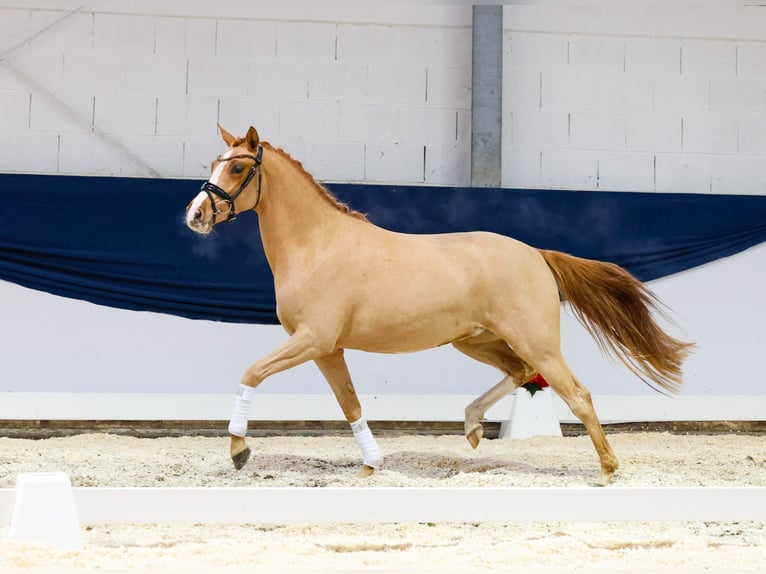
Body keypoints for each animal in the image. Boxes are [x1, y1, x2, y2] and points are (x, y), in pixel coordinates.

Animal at [186, 126, 696, 486]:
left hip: (536, 341)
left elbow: (252, 373)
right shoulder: (329, 349)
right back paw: (471, 427)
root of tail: (536, 254)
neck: (319, 246)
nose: (195, 215)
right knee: (520, 372)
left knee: (577, 394)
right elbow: (350, 404)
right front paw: (371, 465)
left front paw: (239, 451)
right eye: (214, 162)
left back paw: (608, 471)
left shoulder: (312, 340)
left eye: (237, 169)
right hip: (475, 342)